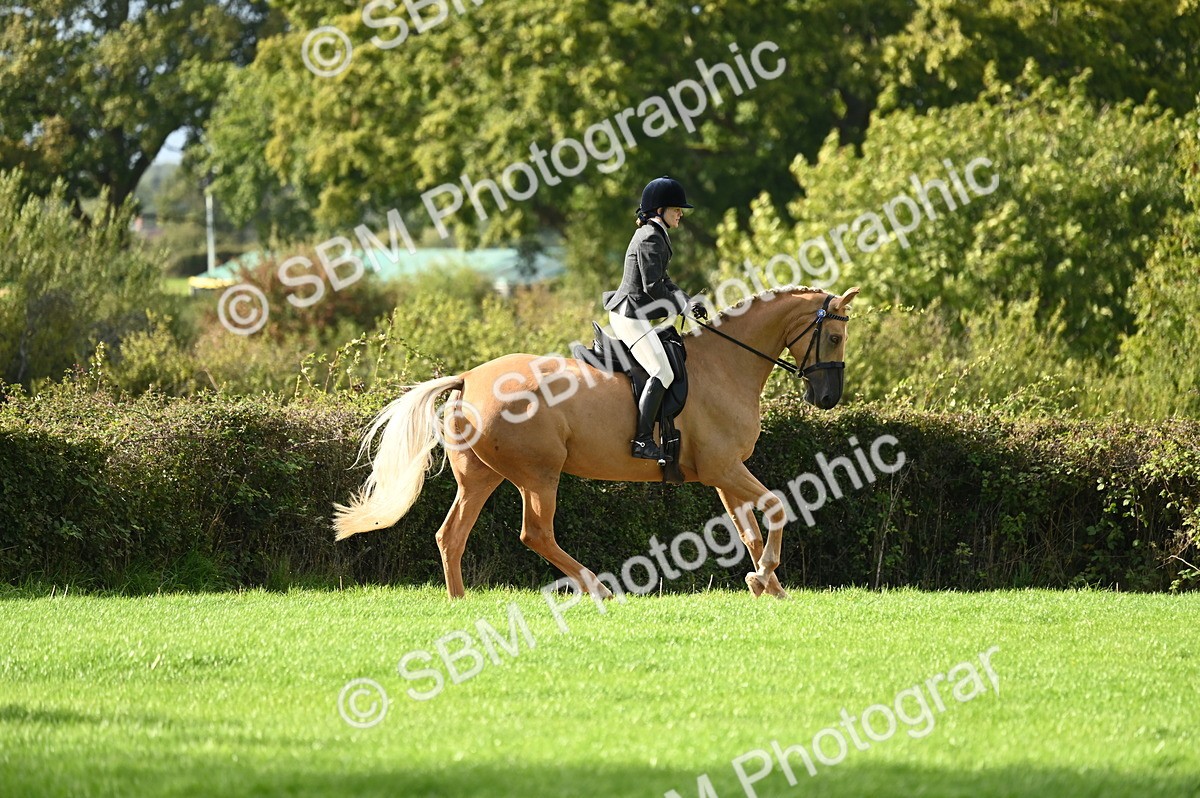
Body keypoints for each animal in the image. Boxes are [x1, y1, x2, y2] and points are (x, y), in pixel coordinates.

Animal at [333, 284, 860, 600]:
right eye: (834, 338)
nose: (827, 399)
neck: (727, 364)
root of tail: (470, 378)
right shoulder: (725, 468)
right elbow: (776, 507)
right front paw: (765, 575)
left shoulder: (723, 472)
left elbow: (748, 528)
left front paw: (766, 584)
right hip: (538, 474)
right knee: (535, 533)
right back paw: (598, 589)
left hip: (481, 476)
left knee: (452, 535)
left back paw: (459, 601)